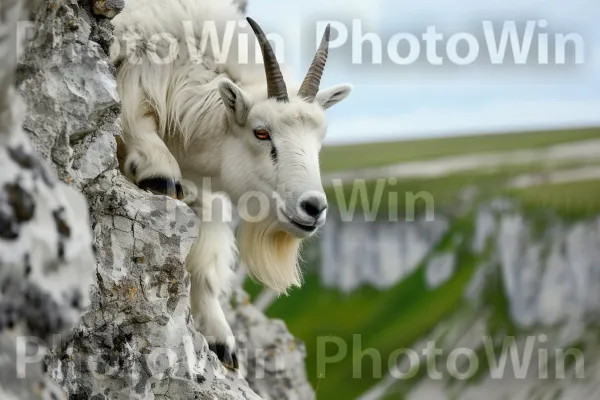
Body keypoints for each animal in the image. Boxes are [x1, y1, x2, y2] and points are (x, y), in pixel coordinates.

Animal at [111, 0, 352, 368]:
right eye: (261, 132)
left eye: (320, 138)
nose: (314, 207)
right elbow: (132, 107)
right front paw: (157, 169)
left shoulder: (202, 190)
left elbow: (207, 251)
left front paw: (220, 338)